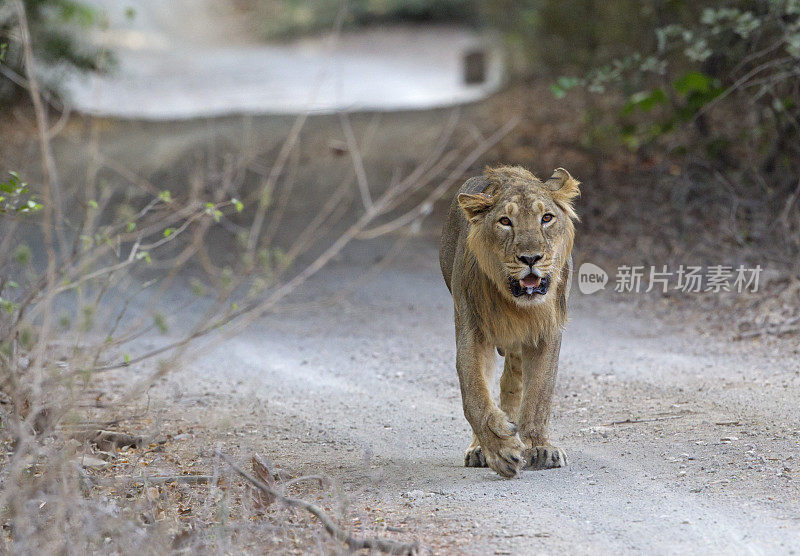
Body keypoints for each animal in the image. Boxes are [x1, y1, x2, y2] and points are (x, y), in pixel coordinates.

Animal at [440, 164, 580, 478]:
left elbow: (539, 394)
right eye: (505, 221)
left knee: (512, 383)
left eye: (547, 218)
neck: (518, 306)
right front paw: (501, 450)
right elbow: (475, 396)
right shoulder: (471, 330)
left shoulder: (547, 332)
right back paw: (479, 448)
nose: (531, 258)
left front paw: (538, 446)